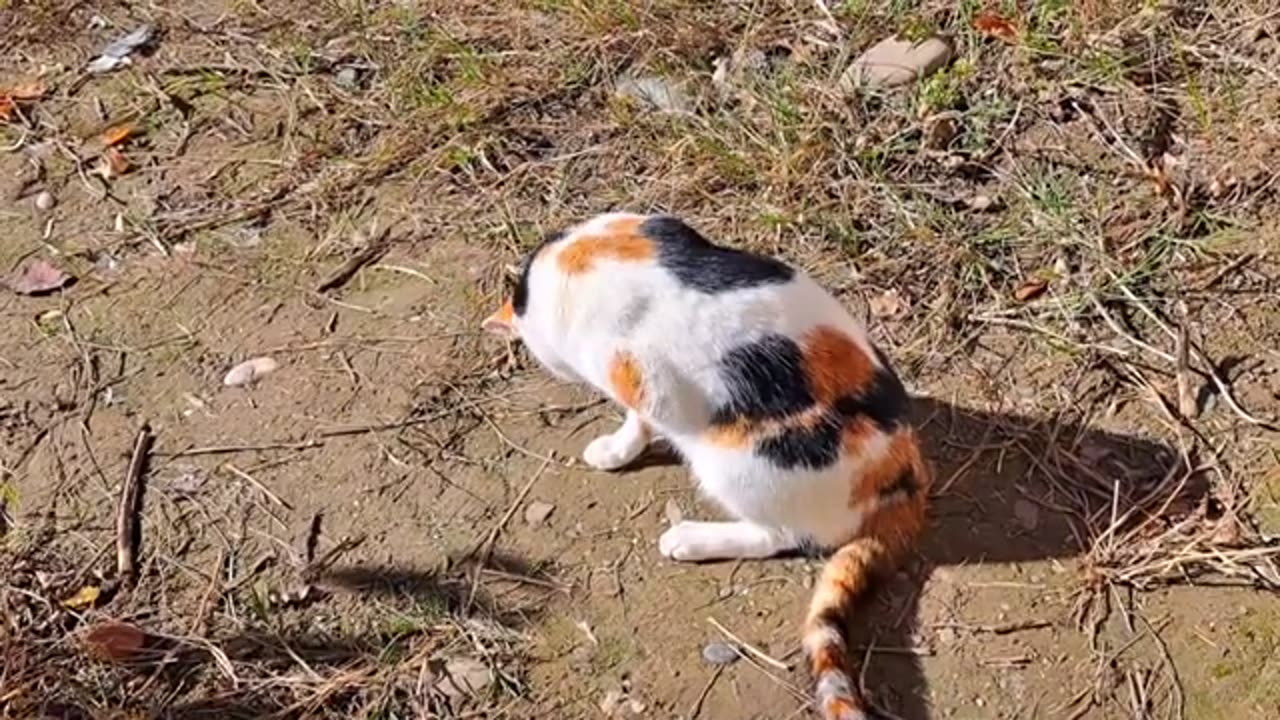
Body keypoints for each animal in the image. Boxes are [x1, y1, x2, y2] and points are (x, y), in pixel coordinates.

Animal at [481, 210, 931, 712]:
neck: (583, 254)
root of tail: (905, 477)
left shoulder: (645, 382)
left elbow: (639, 418)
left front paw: (616, 449)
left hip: (736, 466)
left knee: (778, 536)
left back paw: (689, 539)